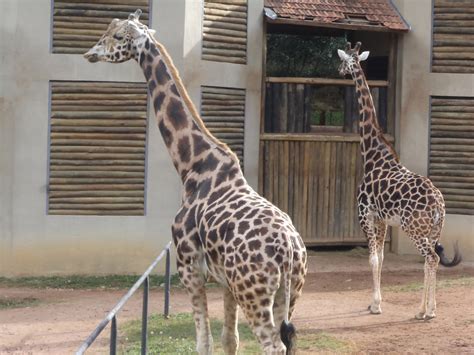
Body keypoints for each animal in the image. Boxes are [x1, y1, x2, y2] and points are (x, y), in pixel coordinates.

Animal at [84, 9, 308, 354]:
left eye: (118, 36)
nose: (90, 53)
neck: (191, 166)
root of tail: (289, 252)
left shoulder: (188, 269)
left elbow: (204, 343)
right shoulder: (226, 283)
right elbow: (230, 340)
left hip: (255, 293)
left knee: (274, 345)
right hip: (289, 293)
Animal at [338, 42, 462, 322]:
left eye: (344, 61)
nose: (339, 71)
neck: (372, 155)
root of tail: (438, 205)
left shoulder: (365, 214)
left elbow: (373, 259)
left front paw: (375, 305)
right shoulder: (383, 219)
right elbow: (382, 258)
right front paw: (374, 302)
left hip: (413, 228)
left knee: (431, 258)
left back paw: (426, 310)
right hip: (433, 229)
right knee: (430, 260)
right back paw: (427, 309)